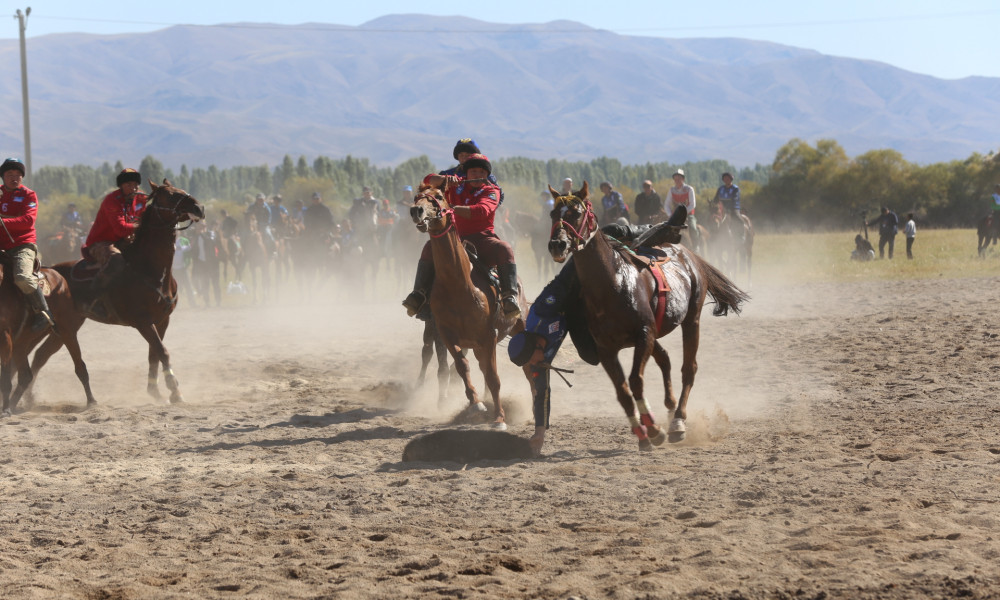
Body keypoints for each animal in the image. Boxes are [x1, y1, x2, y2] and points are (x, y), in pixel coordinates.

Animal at [24, 178, 203, 406]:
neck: (149, 268)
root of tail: (42, 273)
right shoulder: (143, 322)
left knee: (40, 355)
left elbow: (154, 354)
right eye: (170, 195)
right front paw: (175, 392)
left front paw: (155, 391)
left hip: (64, 327)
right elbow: (162, 352)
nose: (199, 208)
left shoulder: (162, 320)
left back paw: (28, 397)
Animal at [408, 183, 532, 426]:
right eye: (417, 197)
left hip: (516, 327)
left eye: (439, 196)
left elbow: (493, 377)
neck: (459, 286)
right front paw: (476, 404)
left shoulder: (488, 336)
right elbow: (460, 366)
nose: (416, 210)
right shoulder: (447, 335)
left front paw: (499, 418)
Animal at [548, 182, 752, 450]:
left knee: (689, 369)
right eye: (553, 214)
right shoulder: (606, 348)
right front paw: (642, 433)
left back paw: (677, 422)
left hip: (691, 320)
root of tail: (689, 254)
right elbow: (623, 392)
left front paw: (654, 429)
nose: (557, 245)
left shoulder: (644, 334)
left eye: (576, 213)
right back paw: (670, 407)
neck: (612, 282)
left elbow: (635, 380)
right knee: (665, 359)